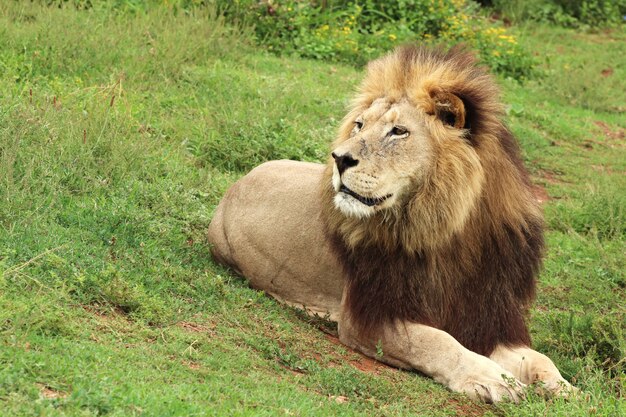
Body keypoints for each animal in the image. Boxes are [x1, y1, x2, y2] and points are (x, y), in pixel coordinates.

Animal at [210, 46, 576, 404]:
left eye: (398, 131)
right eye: (359, 125)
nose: (338, 158)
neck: (451, 234)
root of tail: (238, 182)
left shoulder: (488, 318)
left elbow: (539, 359)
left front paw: (565, 389)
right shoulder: (368, 316)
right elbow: (437, 341)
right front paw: (492, 379)